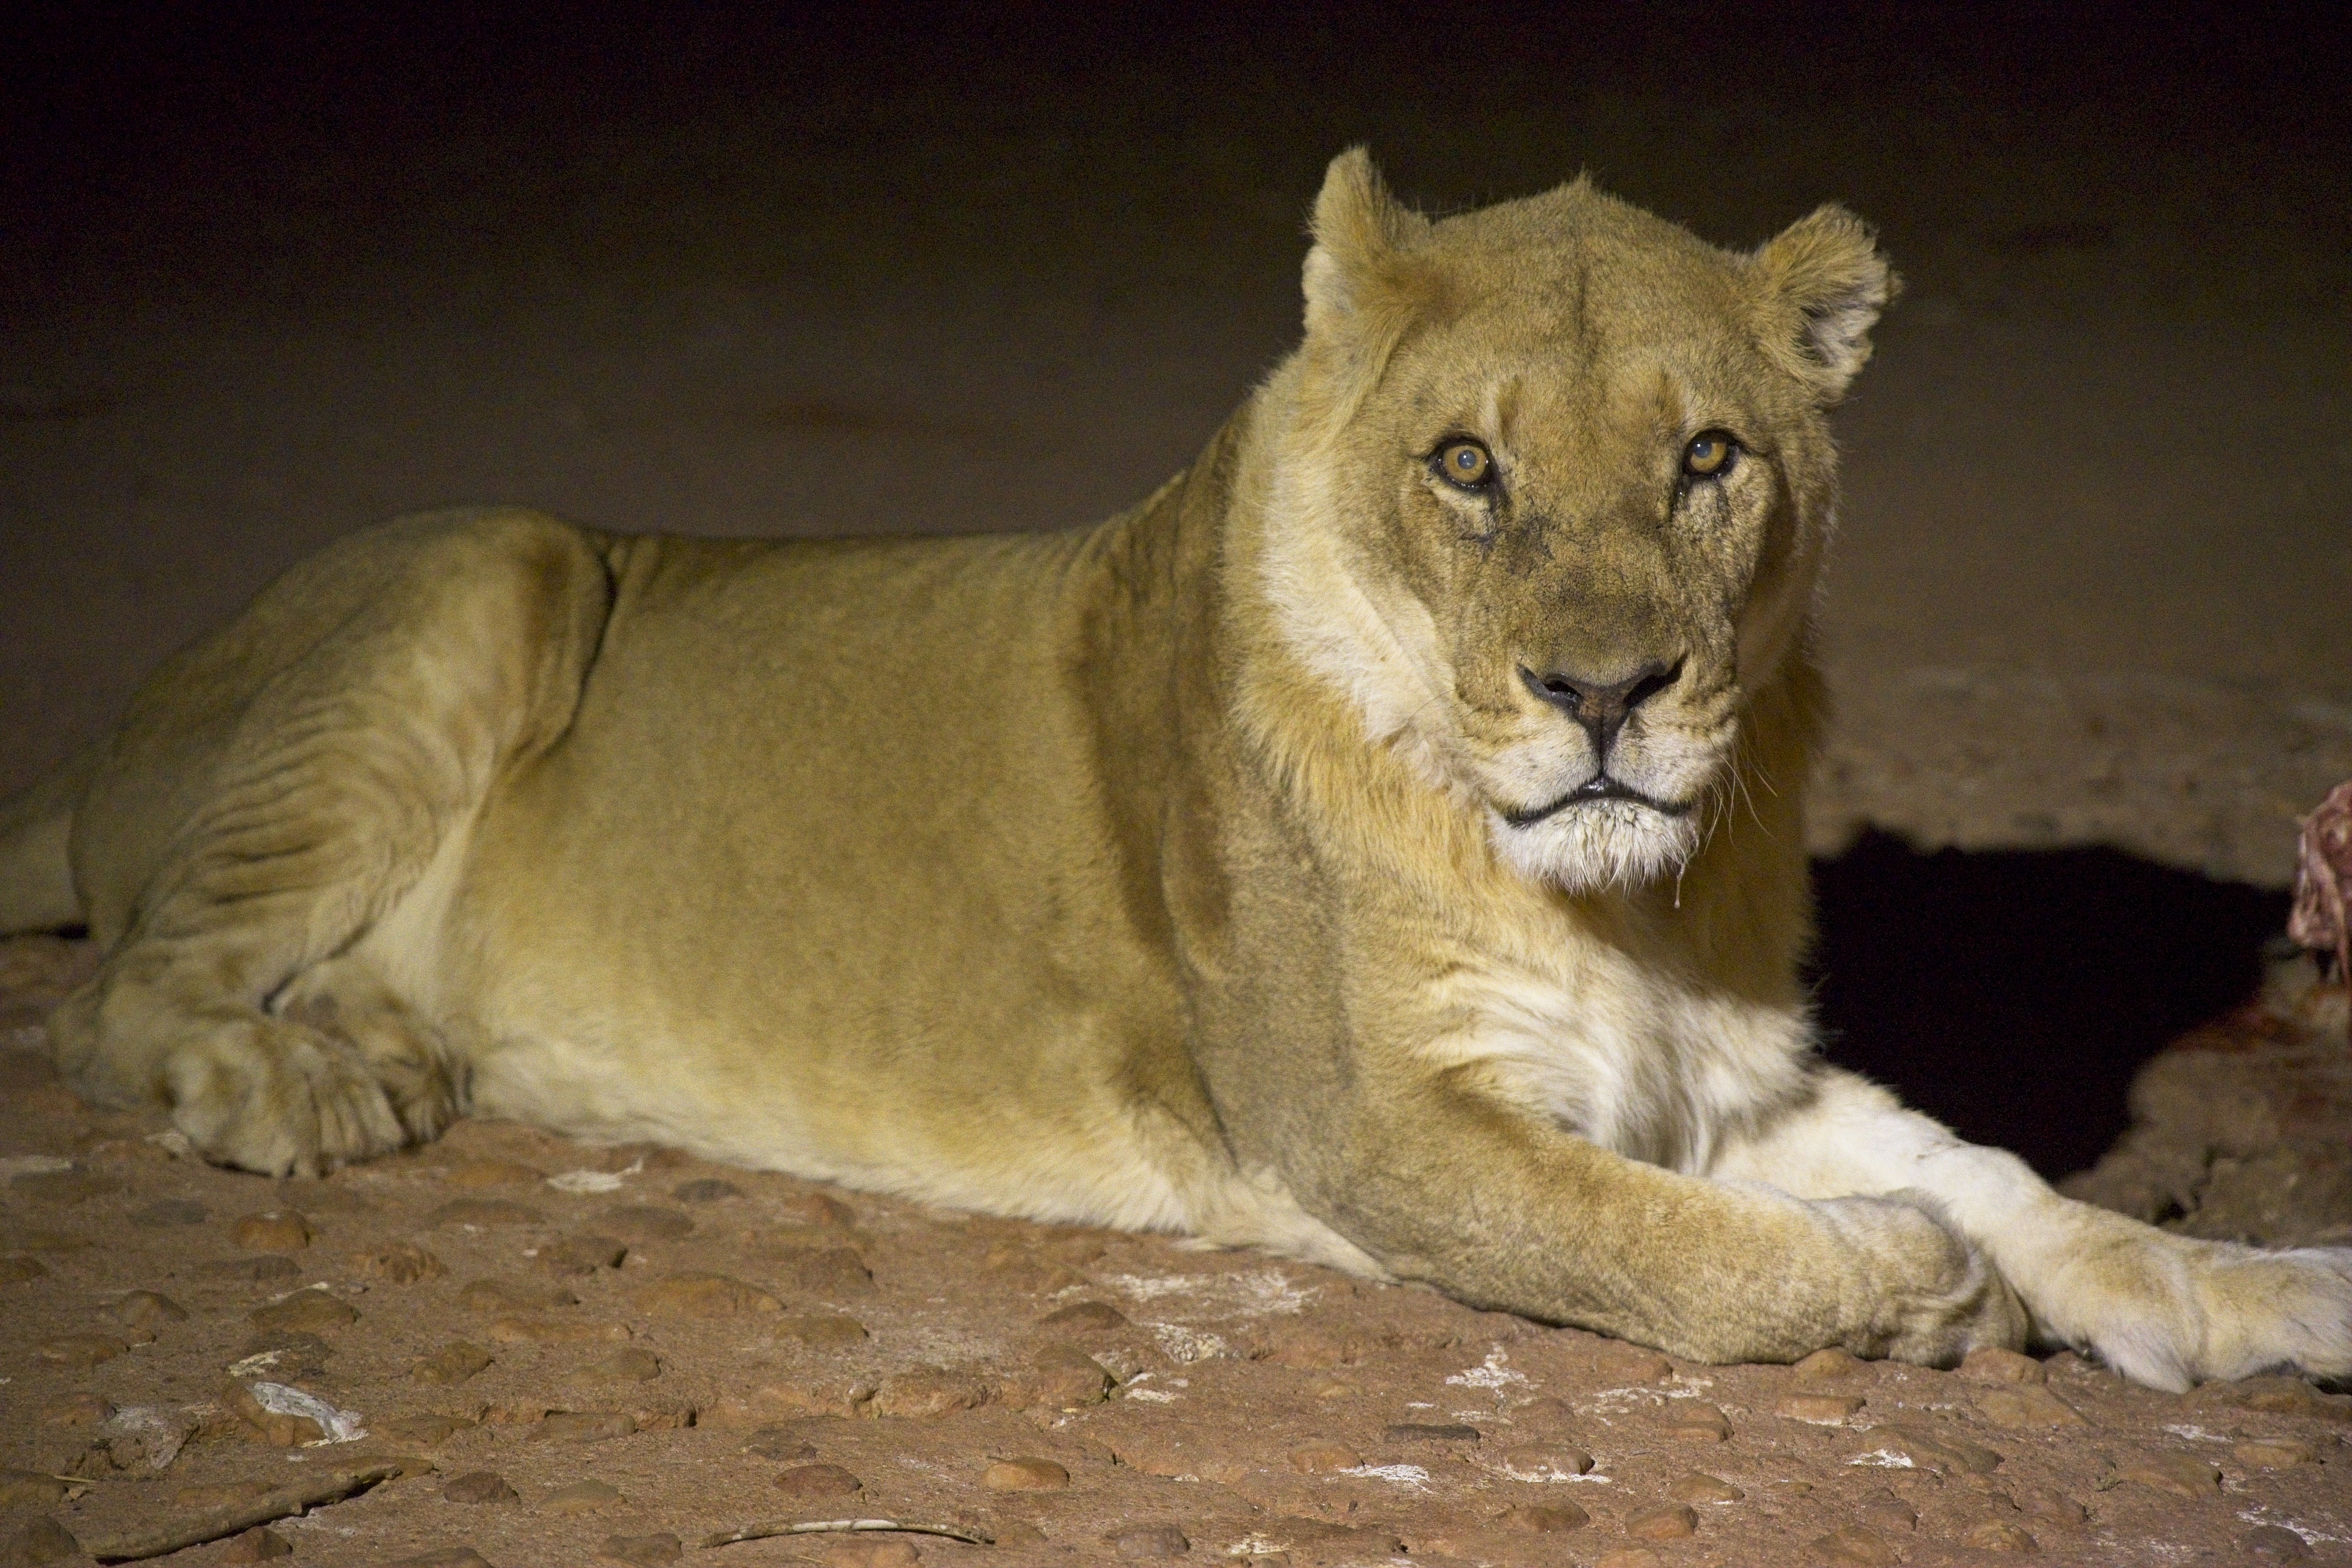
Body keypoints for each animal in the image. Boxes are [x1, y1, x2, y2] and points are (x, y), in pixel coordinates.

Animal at [2, 151, 2346, 1390]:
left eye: (1708, 461)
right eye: (1468, 468)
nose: (1607, 695)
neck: (1637, 892)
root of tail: (120, 730)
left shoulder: (1729, 1077)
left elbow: (2009, 1180)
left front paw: (2267, 1294)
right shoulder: (1377, 1132)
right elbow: (1684, 1254)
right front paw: (1911, 1295)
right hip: (497, 560)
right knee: (109, 996)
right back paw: (298, 1086)